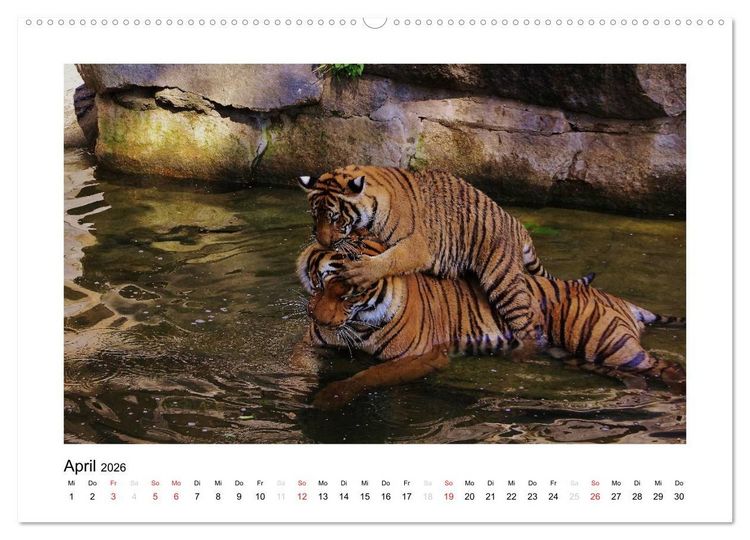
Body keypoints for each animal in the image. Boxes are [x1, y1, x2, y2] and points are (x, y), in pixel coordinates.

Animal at [296, 232, 686, 410]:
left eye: (349, 294)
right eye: (320, 283)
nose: (318, 318)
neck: (358, 322)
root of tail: (618, 299)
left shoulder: (424, 356)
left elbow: (370, 374)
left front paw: (328, 397)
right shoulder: (310, 343)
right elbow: (296, 365)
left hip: (607, 343)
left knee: (664, 367)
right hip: (581, 358)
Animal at [297, 165, 555, 341]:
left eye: (335, 218)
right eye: (315, 216)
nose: (323, 243)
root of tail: (517, 224)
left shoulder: (418, 246)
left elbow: (391, 259)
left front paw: (361, 272)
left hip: (503, 280)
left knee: (526, 321)